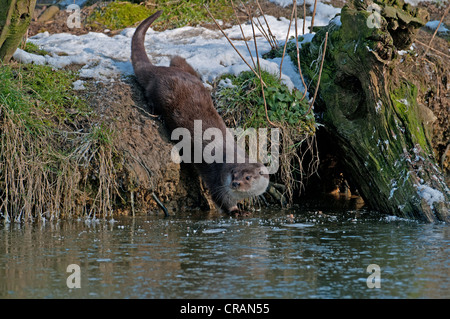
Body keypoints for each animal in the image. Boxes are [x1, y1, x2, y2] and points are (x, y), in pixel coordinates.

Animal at [132, 10, 268, 215]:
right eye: (233, 174)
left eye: (248, 177)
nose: (235, 183)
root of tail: (161, 71)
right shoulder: (217, 180)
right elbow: (221, 199)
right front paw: (237, 211)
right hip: (164, 91)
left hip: (180, 68)